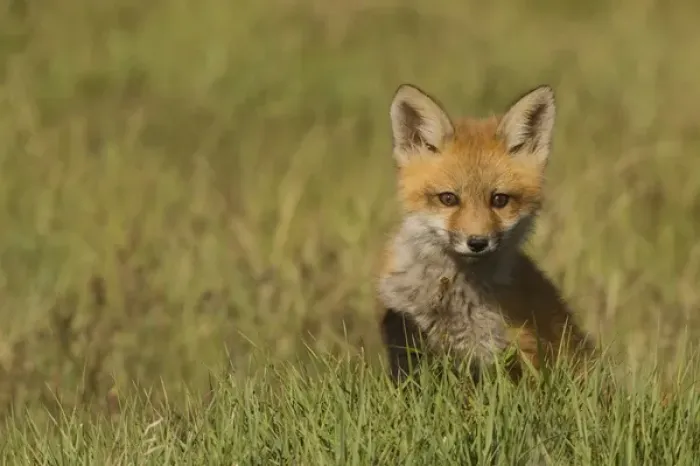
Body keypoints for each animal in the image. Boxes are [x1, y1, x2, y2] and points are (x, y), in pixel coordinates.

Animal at [377, 83, 596, 385]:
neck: (452, 299)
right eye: (448, 199)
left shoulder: (511, 352)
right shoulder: (405, 339)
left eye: (499, 200)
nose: (477, 242)